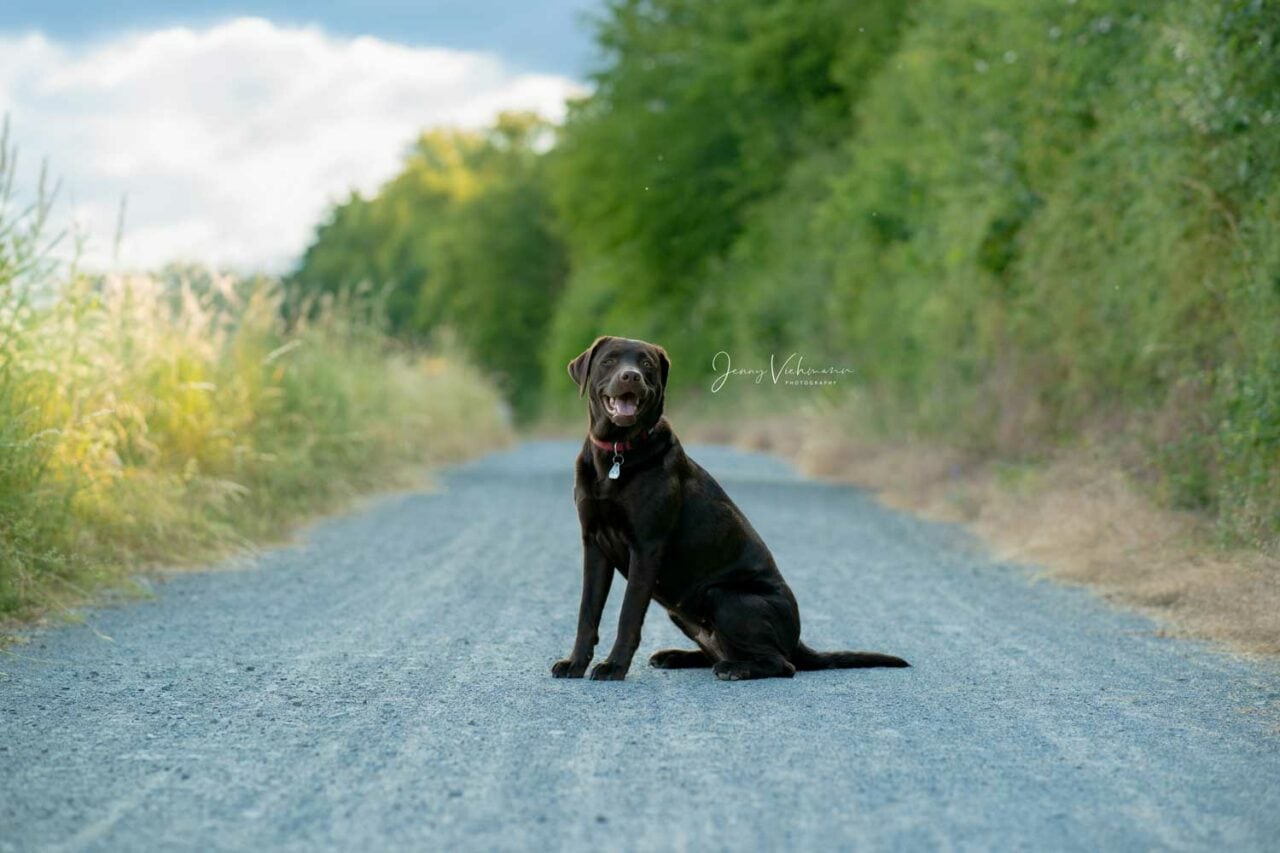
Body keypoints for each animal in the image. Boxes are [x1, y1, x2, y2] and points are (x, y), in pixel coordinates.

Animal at [550, 335, 911, 681]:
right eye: (609, 360)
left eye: (646, 364)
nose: (631, 376)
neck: (616, 454)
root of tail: (796, 639)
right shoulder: (594, 544)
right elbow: (587, 613)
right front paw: (575, 663)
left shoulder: (646, 548)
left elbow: (628, 615)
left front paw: (613, 667)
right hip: (684, 610)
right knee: (722, 650)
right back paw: (676, 657)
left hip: (724, 596)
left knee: (781, 664)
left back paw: (735, 670)